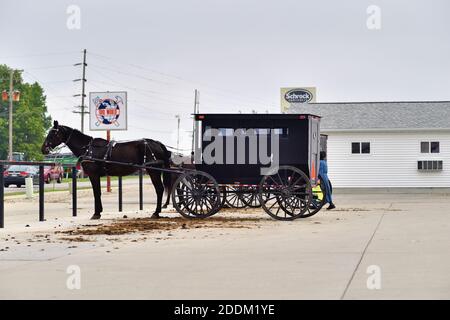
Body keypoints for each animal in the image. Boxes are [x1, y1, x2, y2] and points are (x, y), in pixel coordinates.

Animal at [41, 120, 172, 220]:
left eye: (53, 133)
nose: (43, 149)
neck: (88, 148)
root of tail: (157, 143)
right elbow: (97, 192)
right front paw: (98, 212)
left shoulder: (93, 175)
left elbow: (96, 192)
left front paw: (96, 213)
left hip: (153, 171)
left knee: (159, 189)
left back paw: (156, 212)